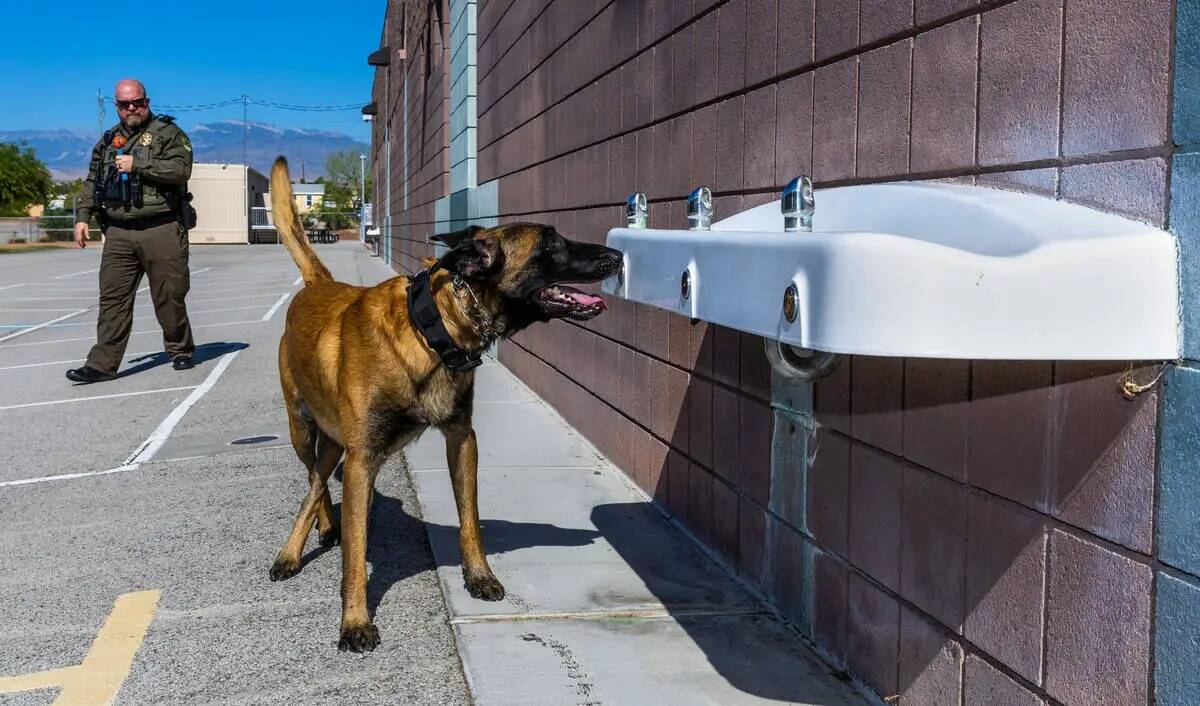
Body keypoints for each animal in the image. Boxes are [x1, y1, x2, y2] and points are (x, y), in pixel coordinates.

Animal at [262, 158, 619, 653]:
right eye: (550, 242)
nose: (617, 255)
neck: (432, 329)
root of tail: (321, 284)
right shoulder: (362, 457)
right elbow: (356, 550)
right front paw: (354, 620)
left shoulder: (461, 439)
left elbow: (470, 518)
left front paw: (479, 575)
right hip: (304, 429)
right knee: (313, 481)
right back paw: (296, 549)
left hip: (338, 442)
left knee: (320, 481)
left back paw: (323, 530)